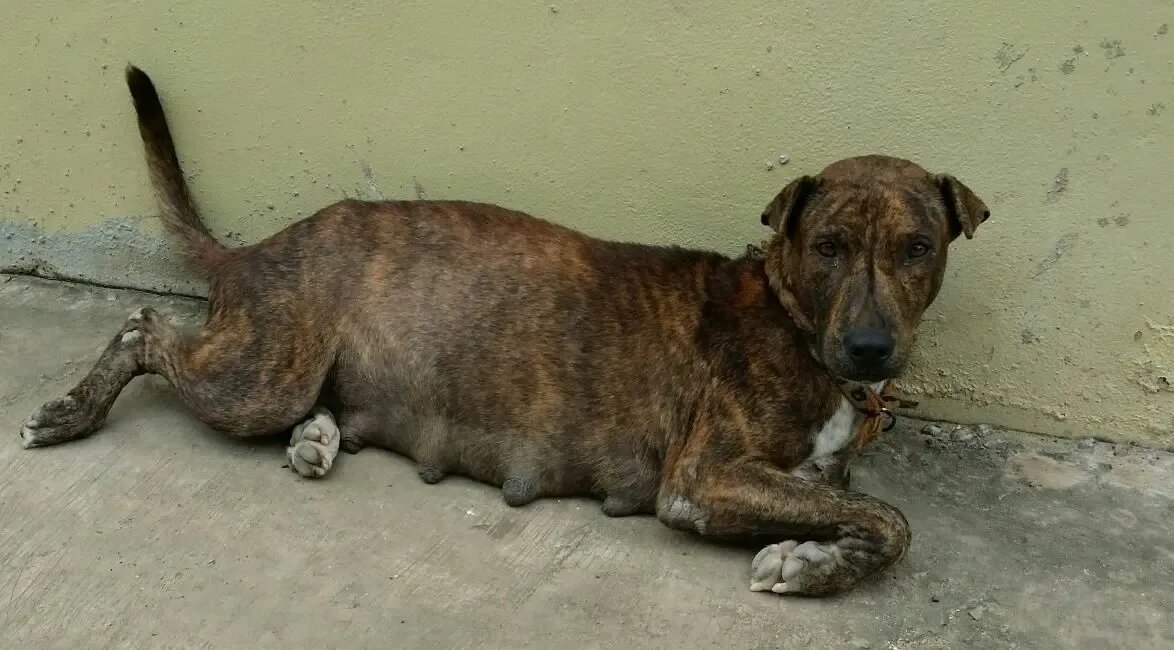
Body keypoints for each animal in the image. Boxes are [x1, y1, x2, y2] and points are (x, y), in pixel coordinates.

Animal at [18, 66, 990, 597]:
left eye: (918, 247)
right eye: (828, 247)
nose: (871, 350)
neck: (795, 317)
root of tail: (258, 249)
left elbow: (865, 509)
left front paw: (817, 557)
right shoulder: (704, 479)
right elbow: (892, 518)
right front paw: (811, 561)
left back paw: (318, 439)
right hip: (260, 373)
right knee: (144, 326)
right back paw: (71, 410)